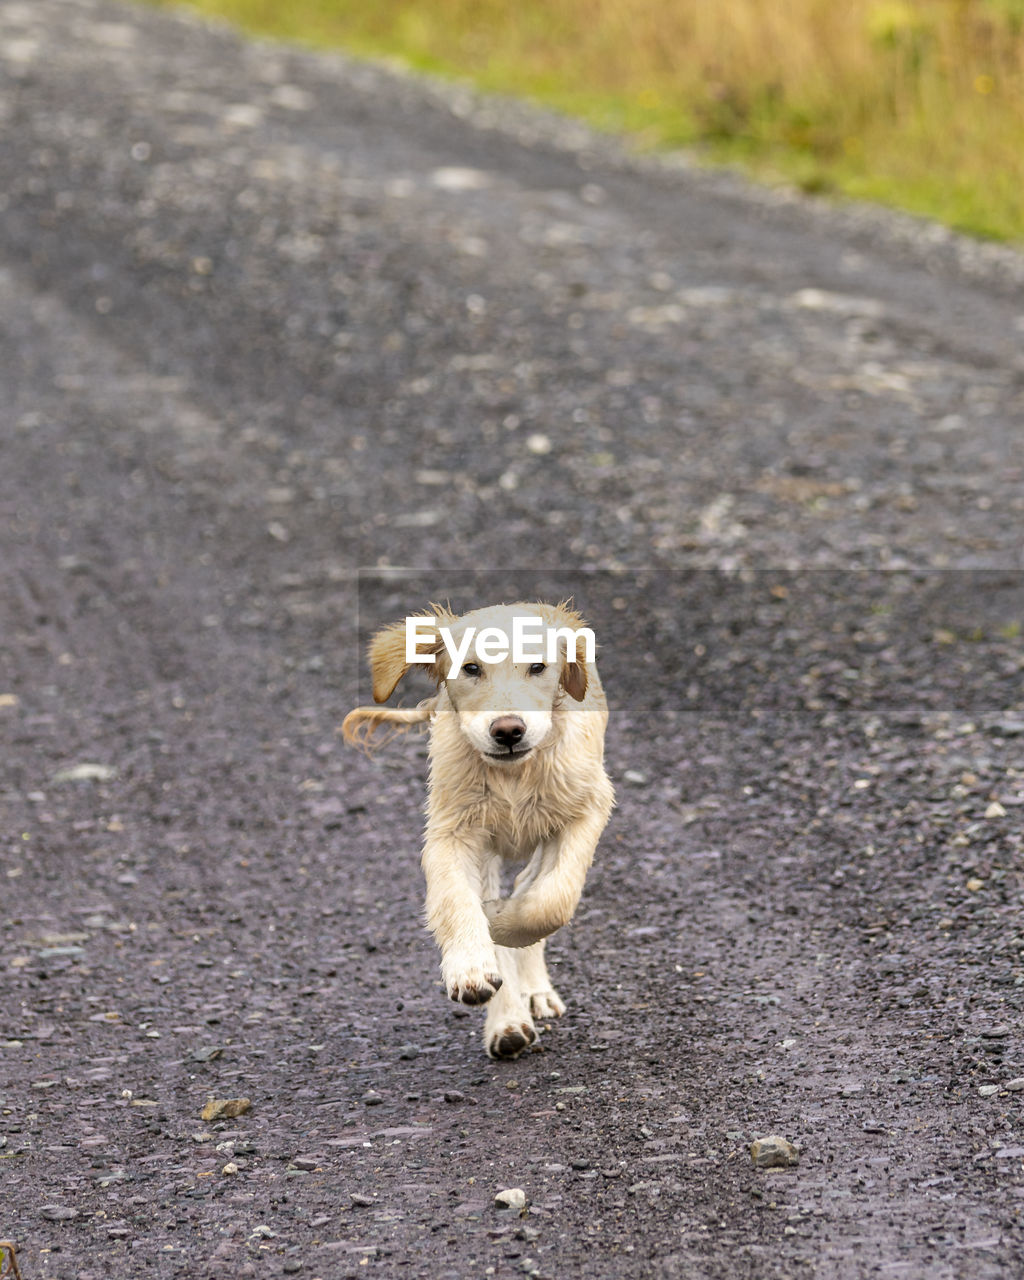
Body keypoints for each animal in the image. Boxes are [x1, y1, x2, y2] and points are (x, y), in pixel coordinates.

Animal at [343, 599, 616, 1059]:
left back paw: (532, 986)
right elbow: (456, 900)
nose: (508, 731)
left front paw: (499, 922)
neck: (513, 776)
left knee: (529, 885)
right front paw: (471, 966)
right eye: (471, 669)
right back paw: (508, 1023)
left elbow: (552, 902)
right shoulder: (452, 832)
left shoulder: (587, 807)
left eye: (538, 667)